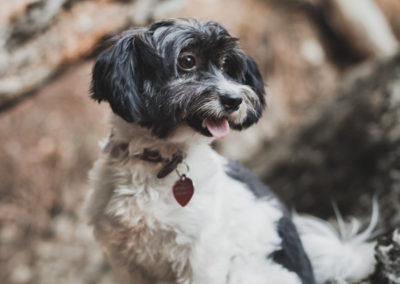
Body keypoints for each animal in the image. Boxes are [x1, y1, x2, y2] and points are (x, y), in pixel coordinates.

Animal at [86, 18, 376, 282]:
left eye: (226, 65)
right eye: (187, 61)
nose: (234, 100)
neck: (158, 162)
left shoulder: (202, 255)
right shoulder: (125, 259)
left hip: (247, 273)